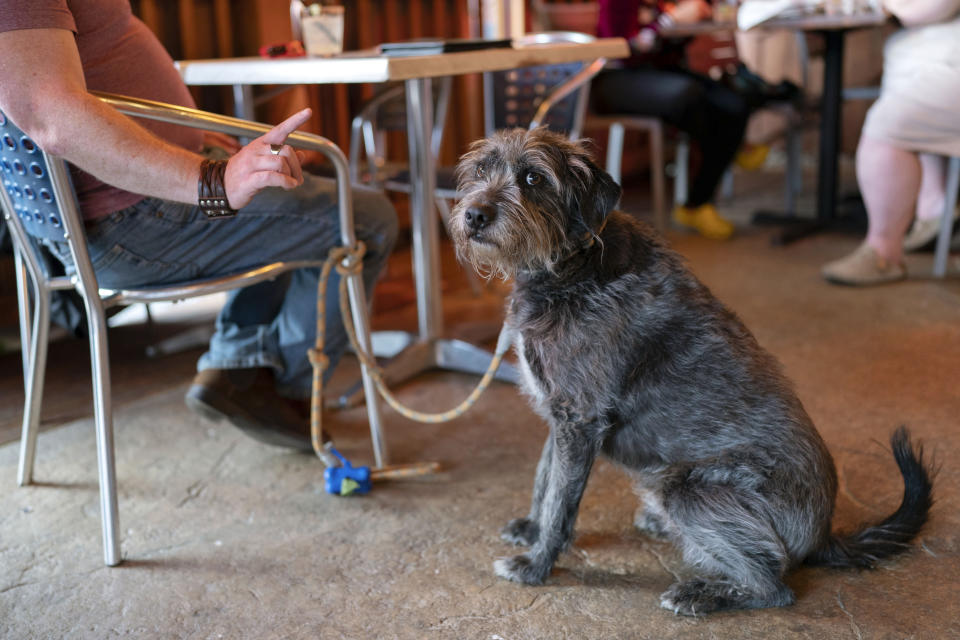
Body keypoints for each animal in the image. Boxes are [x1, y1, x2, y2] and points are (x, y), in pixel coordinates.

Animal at [452, 127, 936, 616]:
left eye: (533, 177)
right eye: (481, 169)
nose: (475, 215)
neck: (572, 266)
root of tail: (823, 535)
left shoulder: (580, 420)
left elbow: (559, 500)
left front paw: (537, 565)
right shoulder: (564, 417)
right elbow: (546, 478)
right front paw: (533, 530)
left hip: (688, 491)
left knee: (774, 586)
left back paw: (701, 593)